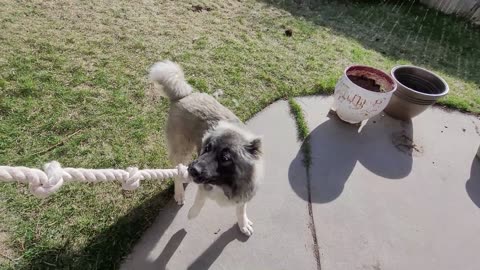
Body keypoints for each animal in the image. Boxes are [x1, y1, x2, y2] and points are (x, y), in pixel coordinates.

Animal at [149, 60, 264, 235]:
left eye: (225, 158)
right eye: (207, 148)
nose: (193, 169)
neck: (224, 184)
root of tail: (185, 95)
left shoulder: (243, 195)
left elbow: (240, 209)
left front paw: (243, 224)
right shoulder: (203, 187)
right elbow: (199, 201)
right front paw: (192, 213)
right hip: (182, 149)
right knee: (177, 172)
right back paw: (180, 192)